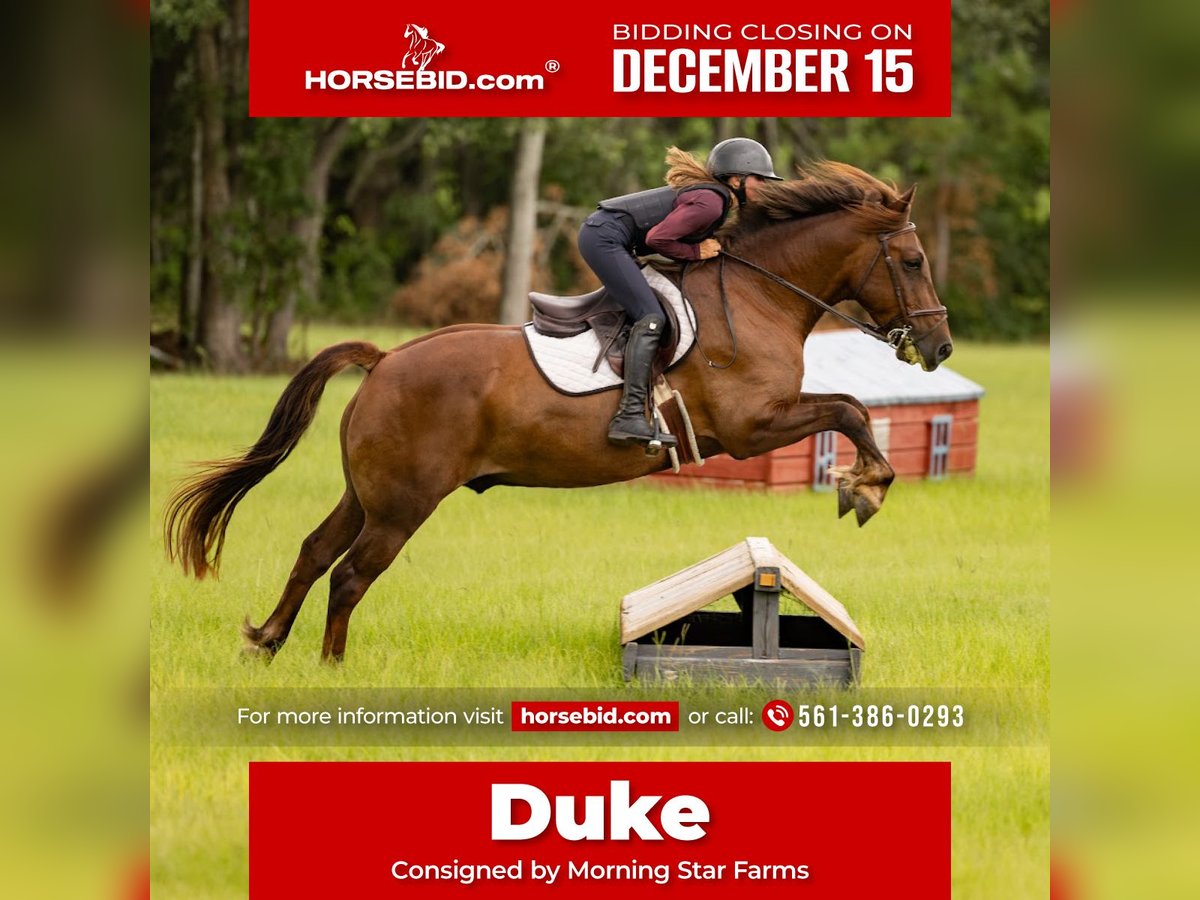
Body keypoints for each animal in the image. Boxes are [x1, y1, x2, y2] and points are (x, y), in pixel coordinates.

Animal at [165, 161, 952, 662]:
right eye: (914, 261)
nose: (940, 346)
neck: (762, 294)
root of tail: (385, 361)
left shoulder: (764, 421)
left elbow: (849, 409)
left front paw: (862, 485)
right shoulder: (752, 425)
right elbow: (850, 411)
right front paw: (864, 489)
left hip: (369, 492)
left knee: (313, 551)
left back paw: (267, 642)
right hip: (405, 501)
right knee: (351, 574)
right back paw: (331, 667)